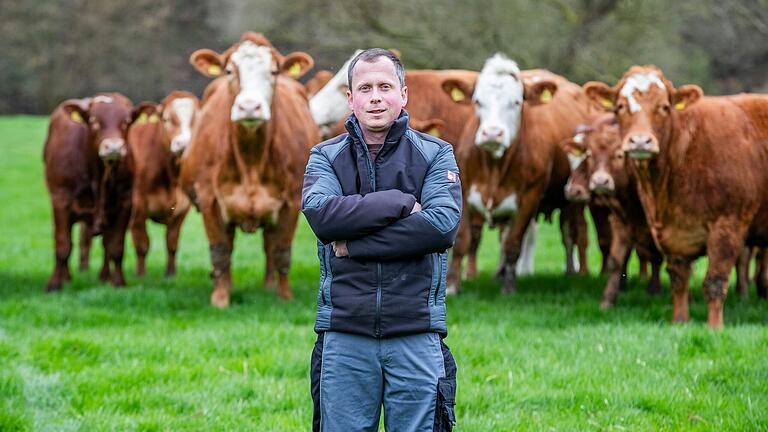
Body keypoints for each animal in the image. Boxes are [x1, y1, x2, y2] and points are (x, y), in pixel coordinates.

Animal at [43, 93, 137, 292]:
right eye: (94, 121)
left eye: (126, 121)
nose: (114, 147)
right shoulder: (60, 201)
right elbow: (63, 244)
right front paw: (54, 284)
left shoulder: (125, 203)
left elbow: (116, 246)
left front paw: (118, 282)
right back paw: (66, 276)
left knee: (107, 244)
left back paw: (104, 276)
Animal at [127, 90, 200, 276]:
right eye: (166, 119)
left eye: (198, 117)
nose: (184, 143)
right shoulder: (137, 207)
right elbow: (142, 244)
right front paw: (140, 275)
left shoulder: (183, 208)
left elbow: (172, 243)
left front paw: (170, 274)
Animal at [180, 31, 318, 308]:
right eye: (229, 71)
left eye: (273, 71)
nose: (249, 107)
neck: (251, 160)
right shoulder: (209, 198)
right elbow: (220, 251)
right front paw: (220, 298)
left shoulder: (292, 200)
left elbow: (282, 252)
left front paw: (284, 296)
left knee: (270, 246)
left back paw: (269, 285)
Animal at [440, 54, 596, 294]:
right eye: (477, 101)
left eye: (516, 102)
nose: (492, 133)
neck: (493, 167)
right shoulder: (463, 191)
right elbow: (463, 241)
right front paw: (452, 286)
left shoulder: (529, 199)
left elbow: (514, 243)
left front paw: (509, 288)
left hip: (573, 200)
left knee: (571, 232)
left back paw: (572, 271)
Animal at [584, 65, 768, 328]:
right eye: (620, 106)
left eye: (664, 107)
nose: (640, 141)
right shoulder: (671, 233)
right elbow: (678, 280)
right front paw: (680, 321)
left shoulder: (728, 225)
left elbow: (715, 281)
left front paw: (715, 327)